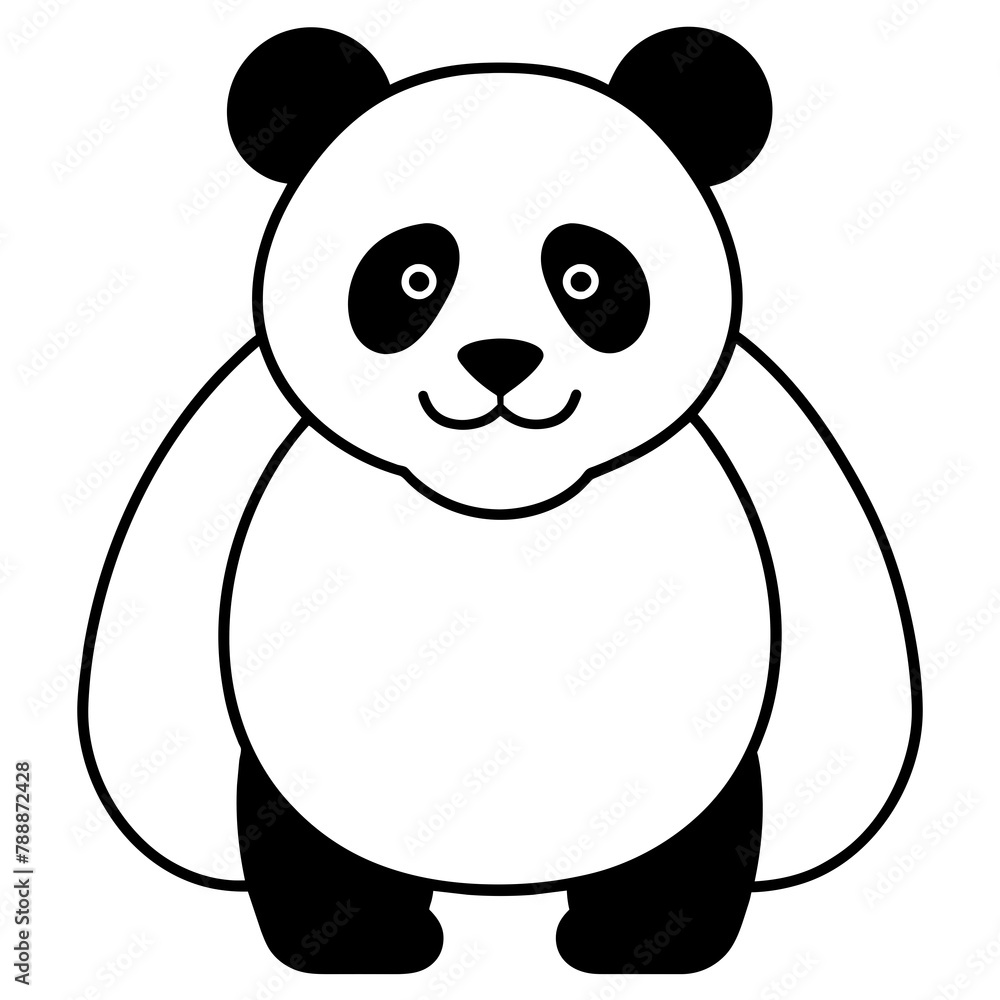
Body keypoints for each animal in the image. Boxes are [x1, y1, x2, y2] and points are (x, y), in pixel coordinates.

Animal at [79, 26, 921, 976]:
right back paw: (364, 943)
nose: (500, 358)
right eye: (414, 275)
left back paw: (634, 944)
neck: (499, 498)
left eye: (584, 275)